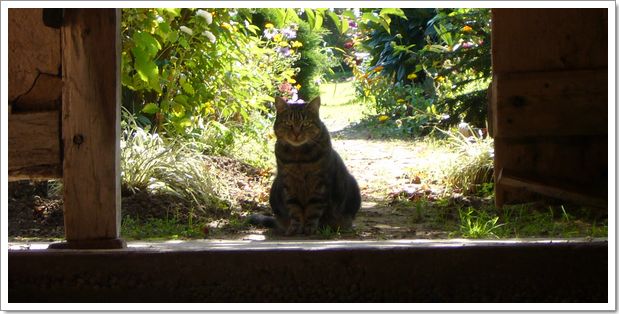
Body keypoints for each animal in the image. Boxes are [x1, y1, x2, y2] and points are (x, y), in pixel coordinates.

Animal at [248, 97, 360, 234]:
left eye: (306, 123)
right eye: (288, 123)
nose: (296, 133)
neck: (299, 158)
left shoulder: (319, 183)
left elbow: (314, 208)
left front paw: (310, 228)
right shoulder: (289, 182)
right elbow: (294, 208)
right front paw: (295, 228)